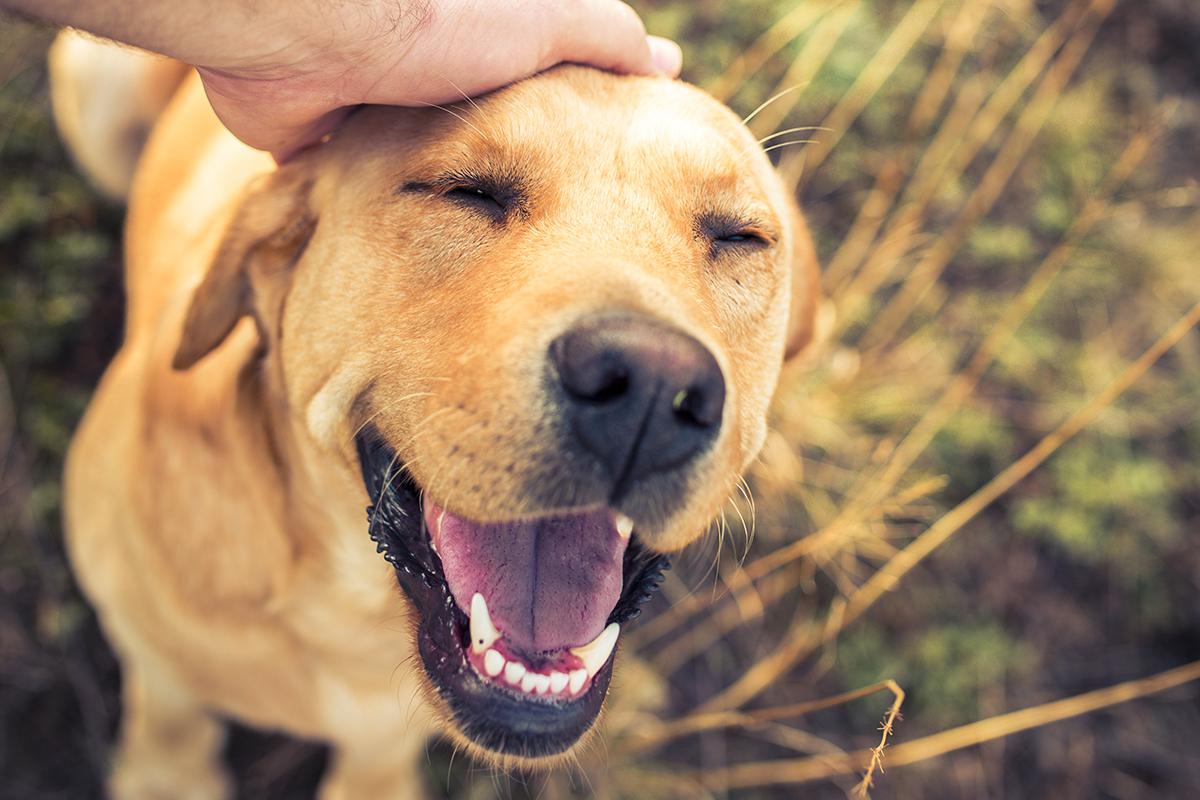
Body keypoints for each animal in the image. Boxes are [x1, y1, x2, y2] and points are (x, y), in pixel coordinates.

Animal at [54, 31, 825, 800]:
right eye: (467, 192)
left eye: (741, 237)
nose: (650, 389)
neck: (350, 610)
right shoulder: (150, 652)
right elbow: (172, 716)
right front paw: (166, 770)